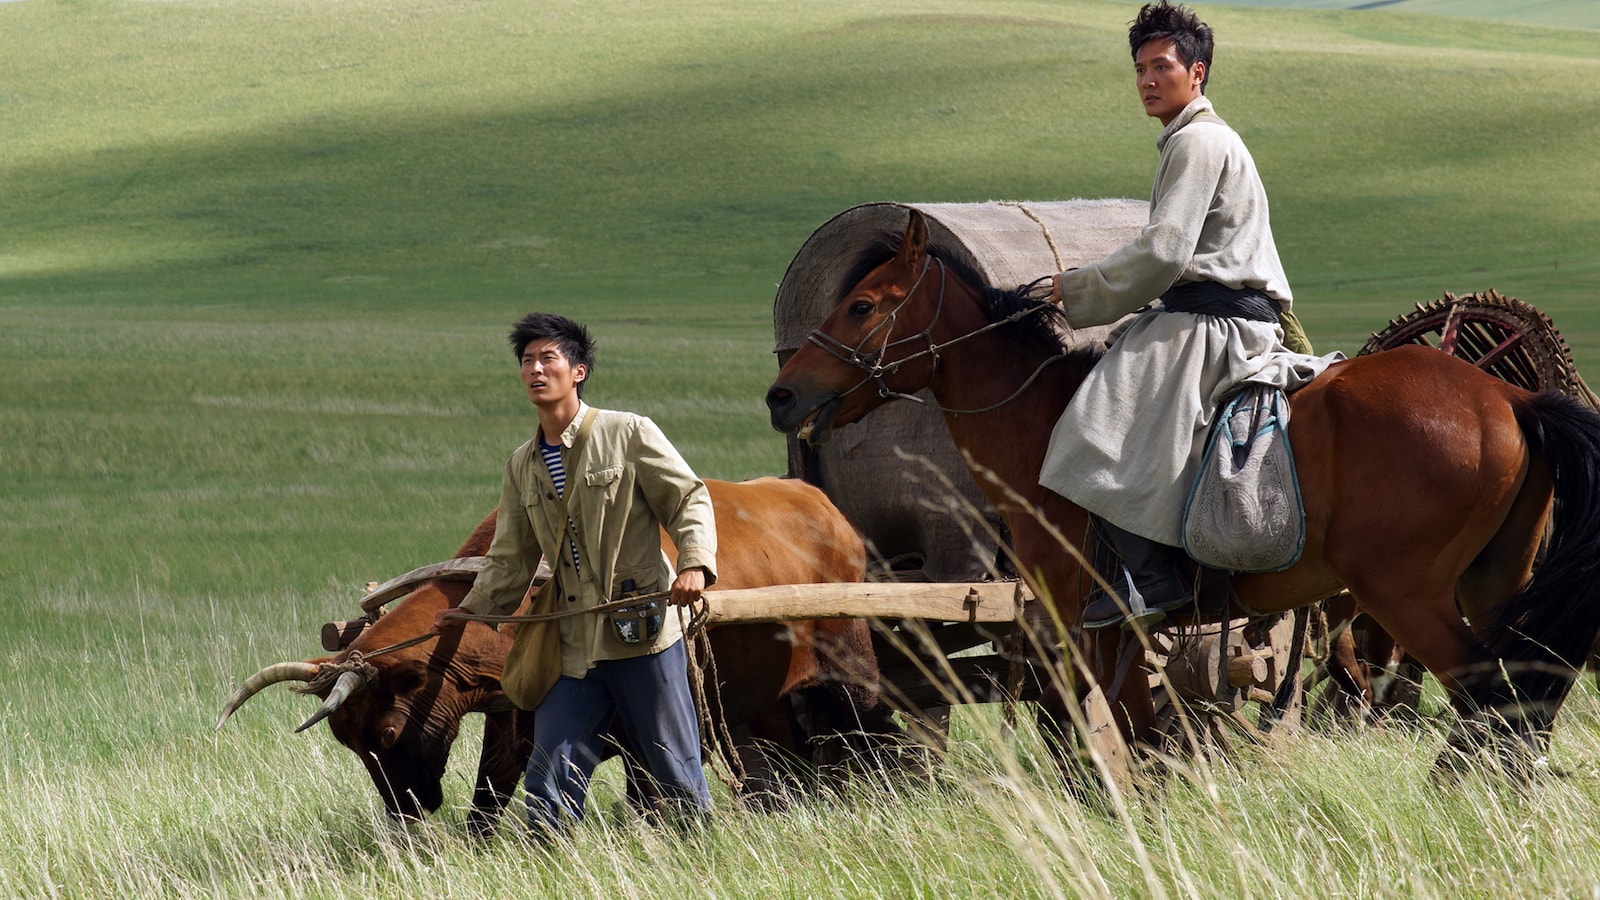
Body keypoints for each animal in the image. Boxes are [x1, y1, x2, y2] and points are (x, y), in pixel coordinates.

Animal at [761, 206, 1600, 768]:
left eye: (862, 305)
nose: (781, 394)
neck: (1039, 421)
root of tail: (1507, 399)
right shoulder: (1112, 634)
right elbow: (1138, 738)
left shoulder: (1089, 624)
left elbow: (1122, 740)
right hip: (1491, 587)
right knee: (1515, 699)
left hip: (1409, 595)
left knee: (1484, 697)